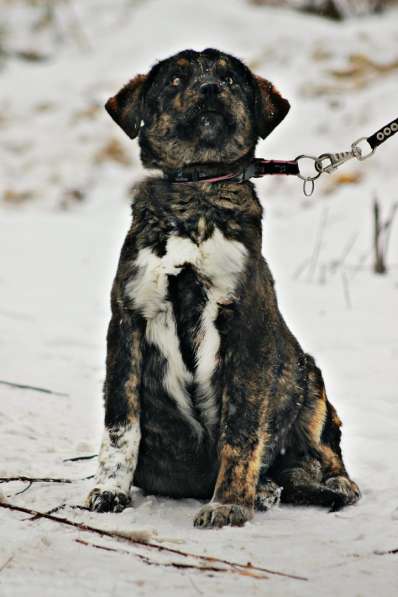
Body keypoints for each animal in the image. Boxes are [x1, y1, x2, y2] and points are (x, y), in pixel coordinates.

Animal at [85, 49, 360, 528]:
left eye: (230, 79)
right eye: (176, 80)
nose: (212, 89)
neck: (196, 194)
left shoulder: (246, 328)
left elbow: (242, 427)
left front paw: (229, 503)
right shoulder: (127, 324)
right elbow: (121, 424)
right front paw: (109, 491)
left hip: (309, 376)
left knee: (324, 448)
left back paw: (322, 483)